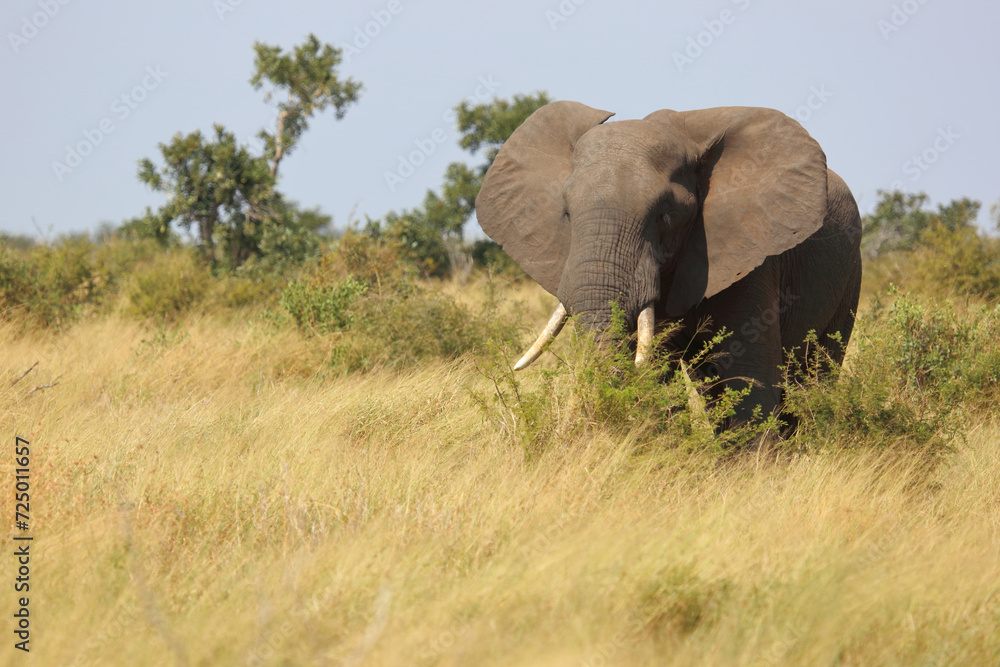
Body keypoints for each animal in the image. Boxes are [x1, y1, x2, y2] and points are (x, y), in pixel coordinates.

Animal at [474, 99, 860, 422]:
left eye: (665, 215)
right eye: (567, 214)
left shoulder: (754, 255)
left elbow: (749, 372)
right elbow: (659, 365)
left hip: (848, 276)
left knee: (814, 371)